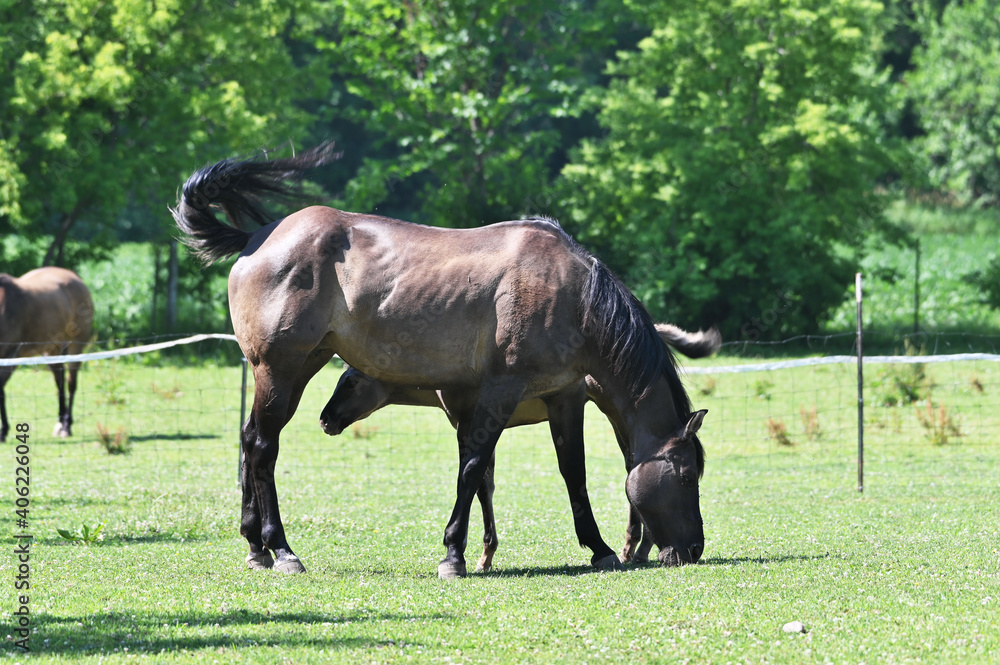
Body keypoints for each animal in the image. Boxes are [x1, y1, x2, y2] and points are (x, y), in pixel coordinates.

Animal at [0, 267, 94, 442]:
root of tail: (76, 278)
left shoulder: (11, 354)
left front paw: (3, 431)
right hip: (52, 350)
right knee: (59, 381)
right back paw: (60, 423)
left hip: (76, 346)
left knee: (71, 383)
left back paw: (66, 426)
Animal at [319, 323, 721, 571]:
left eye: (350, 381)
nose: (326, 419)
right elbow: (485, 482)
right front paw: (484, 555)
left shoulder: (469, 419)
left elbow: (476, 479)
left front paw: (476, 554)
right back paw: (636, 548)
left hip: (607, 406)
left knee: (631, 463)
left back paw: (635, 548)